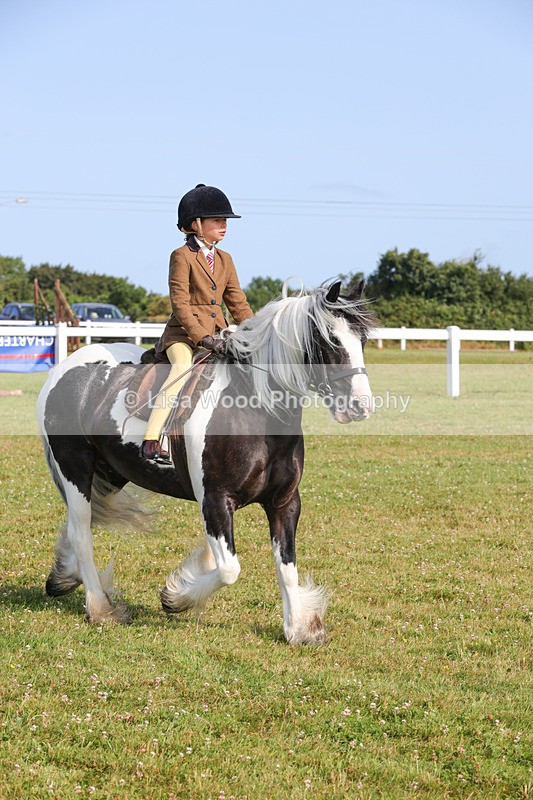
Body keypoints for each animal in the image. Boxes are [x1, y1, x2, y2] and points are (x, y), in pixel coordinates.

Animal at [36, 280, 375, 645]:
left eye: (362, 340)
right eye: (331, 340)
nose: (361, 406)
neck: (256, 408)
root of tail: (62, 370)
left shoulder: (284, 502)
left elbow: (286, 568)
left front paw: (298, 627)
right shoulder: (215, 502)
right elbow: (228, 569)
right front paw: (175, 597)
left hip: (111, 473)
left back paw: (65, 575)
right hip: (75, 468)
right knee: (82, 531)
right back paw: (100, 607)